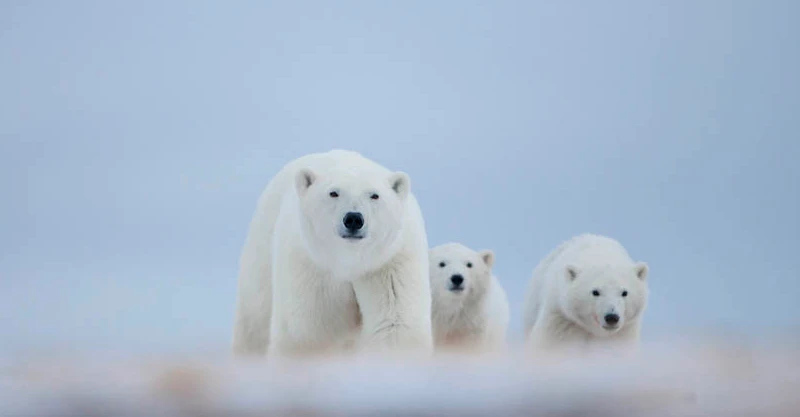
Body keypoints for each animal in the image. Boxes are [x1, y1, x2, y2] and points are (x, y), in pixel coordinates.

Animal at [232, 149, 433, 357]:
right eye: (333, 193)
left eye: (374, 195)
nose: (353, 219)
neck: (350, 261)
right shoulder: (311, 266)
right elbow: (312, 328)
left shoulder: (390, 261)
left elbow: (394, 324)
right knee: (255, 319)